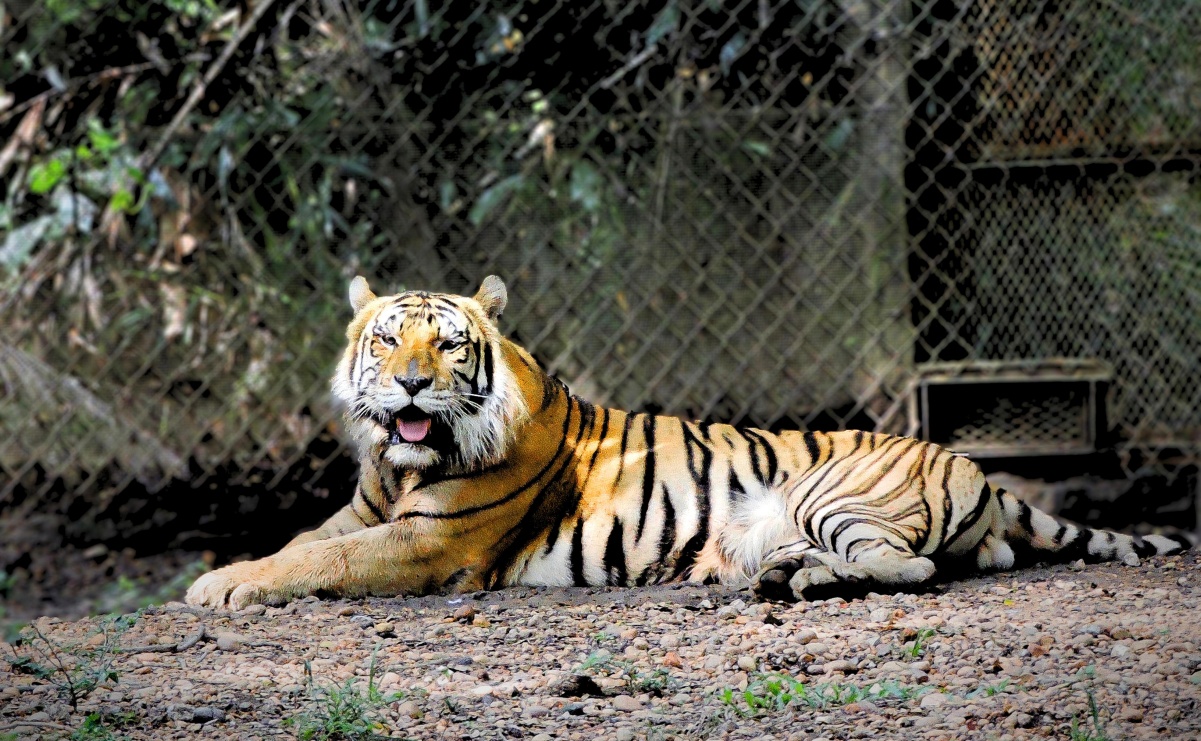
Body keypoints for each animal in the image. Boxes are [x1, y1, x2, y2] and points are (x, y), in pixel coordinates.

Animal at [182, 275, 1196, 610]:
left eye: (448, 344)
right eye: (388, 339)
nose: (409, 385)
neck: (397, 472)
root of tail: (968, 462)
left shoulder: (431, 540)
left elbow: (319, 560)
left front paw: (217, 585)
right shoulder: (361, 512)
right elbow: (302, 542)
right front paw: (223, 570)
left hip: (831, 489)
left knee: (911, 568)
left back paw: (796, 583)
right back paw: (782, 573)